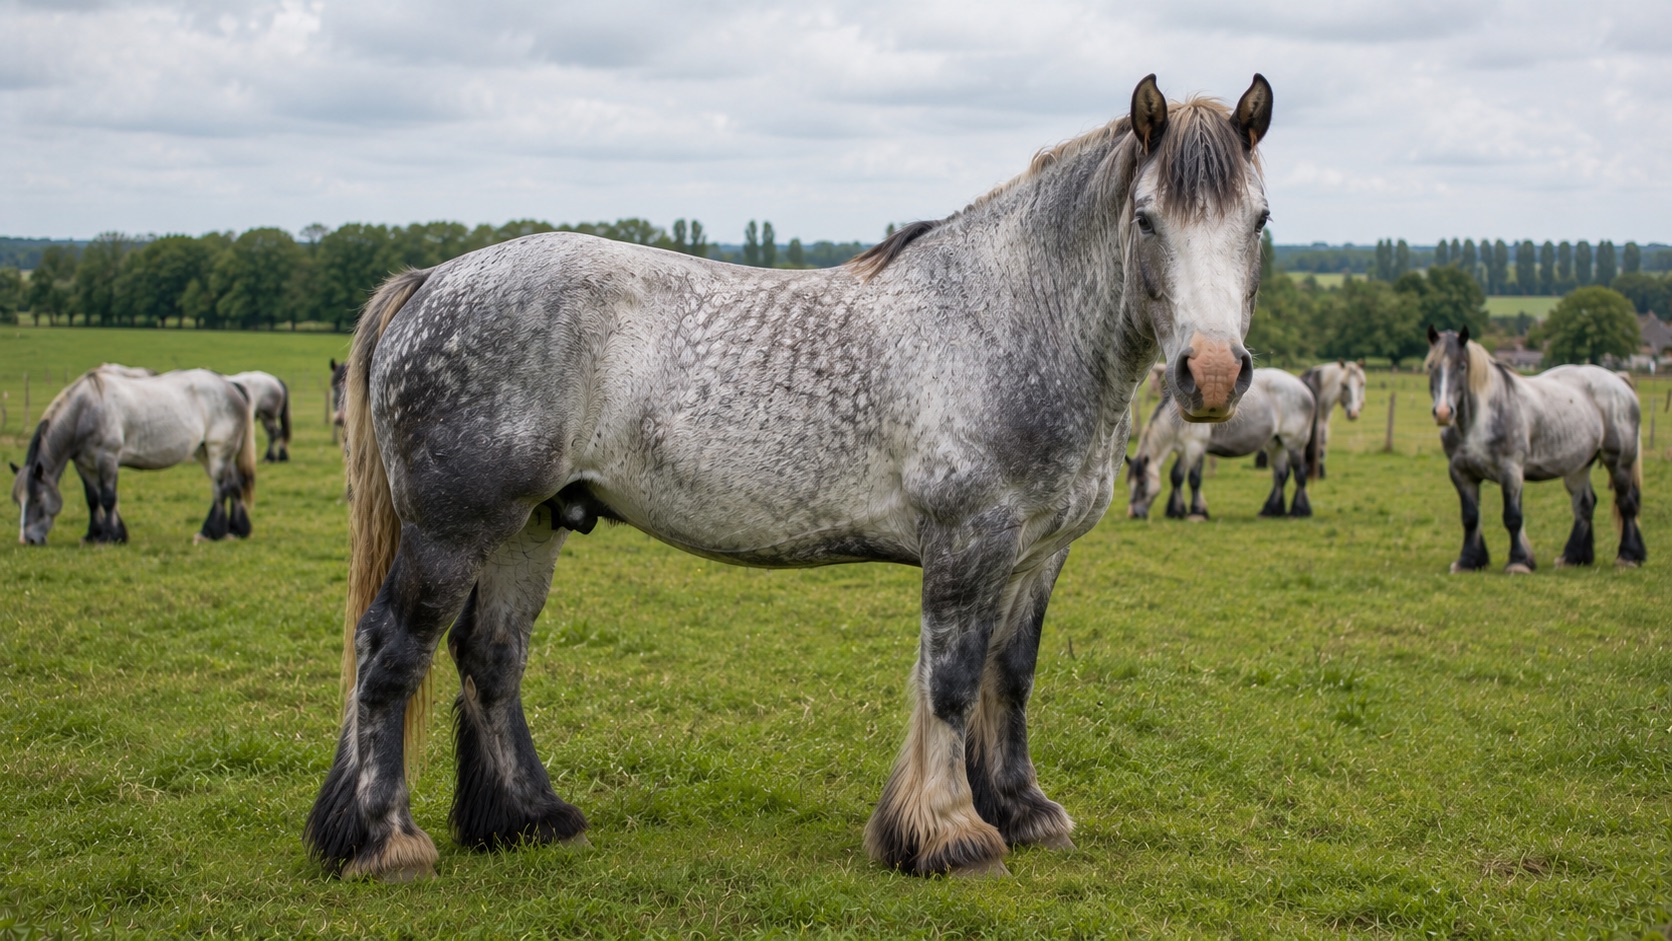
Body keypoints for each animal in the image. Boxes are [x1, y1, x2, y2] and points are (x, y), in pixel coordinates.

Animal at [10, 368, 257, 545]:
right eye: (17, 500)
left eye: (36, 498)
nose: (26, 540)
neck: (85, 411)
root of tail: (230, 385)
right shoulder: (85, 465)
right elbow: (93, 499)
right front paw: (93, 534)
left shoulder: (107, 459)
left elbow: (108, 498)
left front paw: (110, 536)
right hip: (206, 452)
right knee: (233, 486)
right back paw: (236, 530)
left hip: (218, 451)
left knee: (220, 489)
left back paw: (210, 532)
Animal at [304, 73, 1275, 882]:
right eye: (1146, 218)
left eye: (1260, 220)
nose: (1211, 373)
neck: (1004, 322)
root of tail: (431, 280)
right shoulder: (967, 546)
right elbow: (952, 681)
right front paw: (950, 834)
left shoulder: (1037, 555)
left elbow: (1010, 675)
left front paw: (1023, 810)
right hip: (452, 532)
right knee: (389, 650)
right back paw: (384, 842)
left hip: (529, 526)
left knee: (491, 656)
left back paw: (528, 818)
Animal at [1126, 368, 1315, 520]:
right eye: (1129, 483)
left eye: (1142, 482)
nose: (1133, 514)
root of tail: (1302, 386)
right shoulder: (1184, 450)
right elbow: (1177, 477)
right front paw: (1180, 510)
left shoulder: (1195, 447)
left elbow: (1191, 478)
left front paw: (1194, 512)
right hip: (1276, 444)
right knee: (1280, 475)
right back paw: (1271, 510)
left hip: (1294, 444)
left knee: (1299, 474)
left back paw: (1299, 511)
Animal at [1425, 326, 1645, 572]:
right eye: (1431, 366)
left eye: (1462, 366)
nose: (1444, 412)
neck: (1477, 422)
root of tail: (1618, 380)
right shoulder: (1462, 473)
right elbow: (1470, 518)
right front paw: (1468, 561)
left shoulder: (1511, 472)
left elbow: (1513, 517)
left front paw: (1519, 562)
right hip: (1577, 466)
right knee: (1584, 505)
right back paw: (1573, 556)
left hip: (1619, 462)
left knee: (1627, 503)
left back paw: (1628, 556)